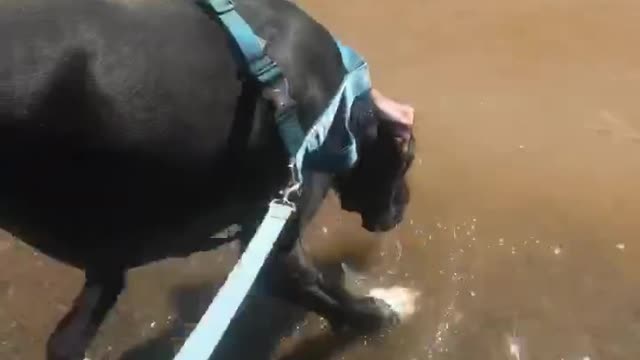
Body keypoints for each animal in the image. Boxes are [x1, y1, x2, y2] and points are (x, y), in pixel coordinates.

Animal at [0, 0, 416, 358]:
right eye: (408, 158)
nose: (402, 207)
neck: (343, 103)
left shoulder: (108, 263)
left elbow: (67, 337)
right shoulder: (279, 224)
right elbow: (313, 287)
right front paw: (382, 310)